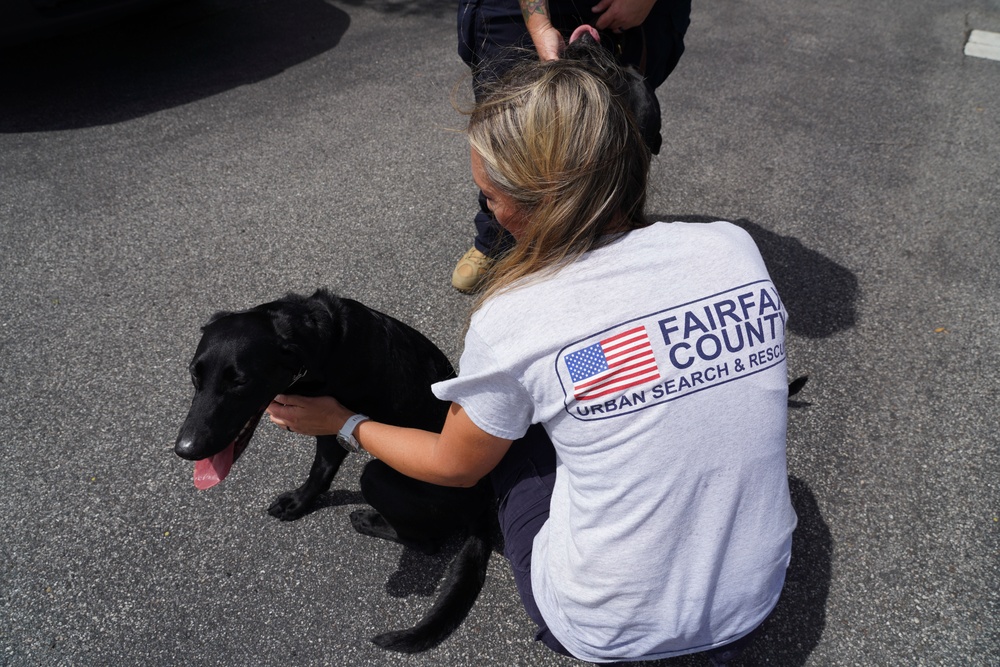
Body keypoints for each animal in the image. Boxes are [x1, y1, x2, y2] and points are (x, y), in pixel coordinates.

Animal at [177, 290, 496, 652]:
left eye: (240, 381)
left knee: (426, 542)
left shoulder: (328, 430)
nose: (185, 450)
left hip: (376, 477)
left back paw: (367, 520)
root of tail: (484, 506)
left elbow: (320, 472)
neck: (316, 339)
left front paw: (297, 504)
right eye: (194, 375)